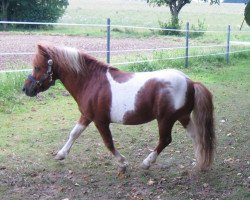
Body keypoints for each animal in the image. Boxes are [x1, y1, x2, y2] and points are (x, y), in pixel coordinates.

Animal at [22, 43, 216, 173]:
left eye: (37, 67)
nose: (26, 89)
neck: (91, 82)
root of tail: (190, 82)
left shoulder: (100, 121)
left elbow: (108, 142)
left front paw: (122, 163)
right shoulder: (86, 116)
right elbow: (74, 133)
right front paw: (61, 154)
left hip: (166, 119)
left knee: (165, 140)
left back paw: (147, 162)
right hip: (183, 117)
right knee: (196, 136)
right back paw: (198, 162)